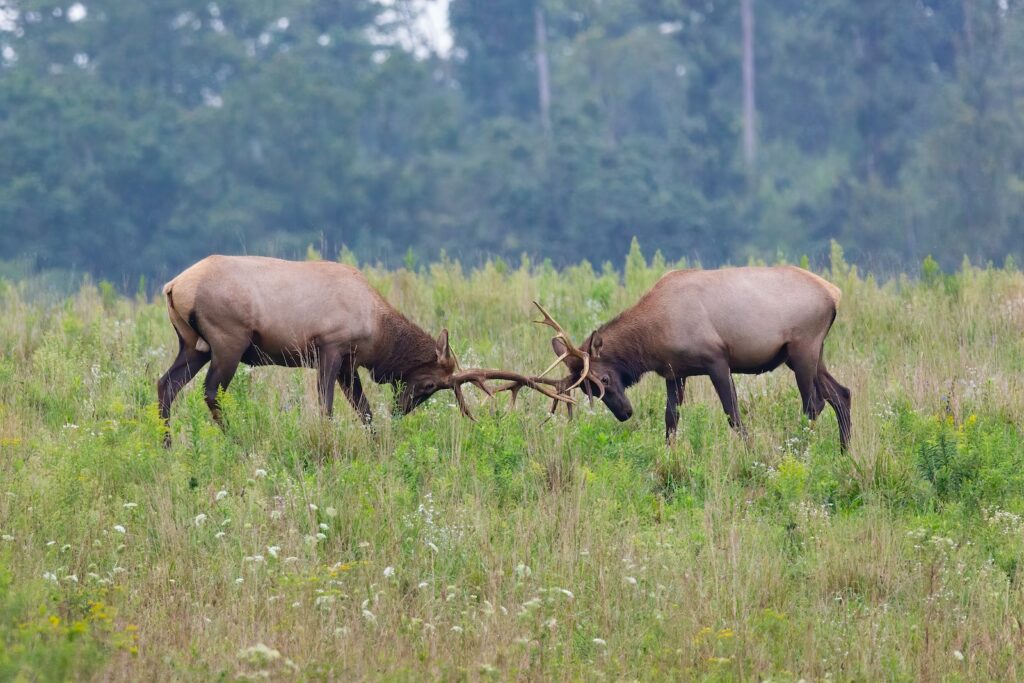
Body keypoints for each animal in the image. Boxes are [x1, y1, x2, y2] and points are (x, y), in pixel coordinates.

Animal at [157, 255, 570, 445]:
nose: (400, 411)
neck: (378, 332)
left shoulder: (348, 363)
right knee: (212, 392)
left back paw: (166, 444)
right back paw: (236, 439)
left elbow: (364, 410)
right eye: (429, 385)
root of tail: (173, 286)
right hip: (228, 340)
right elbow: (327, 407)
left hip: (193, 345)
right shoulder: (330, 346)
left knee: (165, 385)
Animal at [516, 266, 852, 450]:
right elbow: (671, 418)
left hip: (803, 348)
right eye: (586, 388)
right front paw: (669, 454)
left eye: (605, 379)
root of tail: (835, 293)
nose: (625, 413)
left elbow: (733, 415)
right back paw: (844, 452)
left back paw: (801, 450)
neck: (651, 339)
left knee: (814, 403)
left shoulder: (717, 359)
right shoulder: (674, 372)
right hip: (809, 353)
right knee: (841, 394)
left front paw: (750, 451)